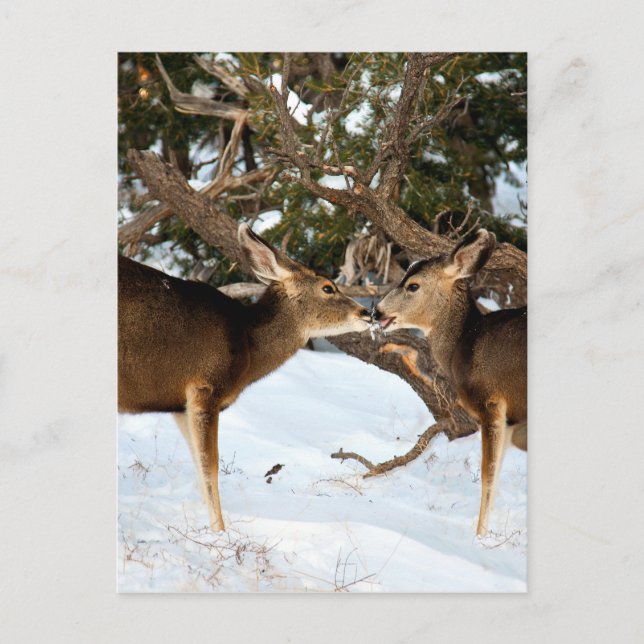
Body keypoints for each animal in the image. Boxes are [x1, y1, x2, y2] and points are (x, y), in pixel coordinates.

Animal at [118, 223, 373, 531]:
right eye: (328, 288)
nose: (367, 313)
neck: (249, 346)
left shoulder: (179, 404)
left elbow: (197, 463)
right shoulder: (205, 388)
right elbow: (211, 467)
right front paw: (220, 530)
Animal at [374, 229, 527, 536]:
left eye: (413, 286)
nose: (377, 312)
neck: (463, 344)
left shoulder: (491, 403)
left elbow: (487, 477)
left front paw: (479, 536)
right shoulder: (511, 418)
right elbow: (497, 474)